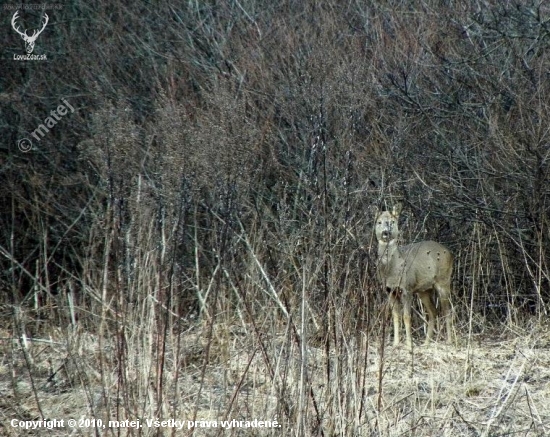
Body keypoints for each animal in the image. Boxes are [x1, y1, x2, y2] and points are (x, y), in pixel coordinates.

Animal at [378, 203, 454, 350]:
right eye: (379, 222)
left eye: (392, 221)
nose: (385, 232)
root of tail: (450, 253)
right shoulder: (390, 290)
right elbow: (396, 315)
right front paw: (396, 343)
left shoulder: (407, 288)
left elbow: (407, 316)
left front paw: (409, 345)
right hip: (424, 290)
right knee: (433, 311)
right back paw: (426, 342)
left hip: (443, 280)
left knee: (447, 310)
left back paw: (450, 341)